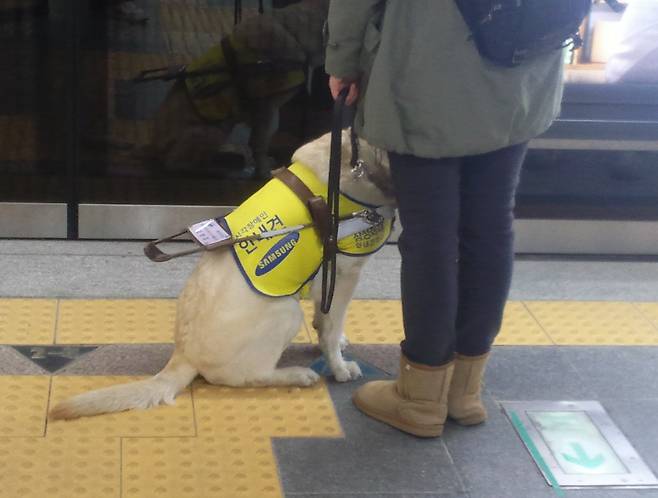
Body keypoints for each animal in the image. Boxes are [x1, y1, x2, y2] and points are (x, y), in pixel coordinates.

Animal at [51, 131, 392, 420]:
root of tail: (184, 354)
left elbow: (327, 321)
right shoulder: (343, 272)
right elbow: (331, 328)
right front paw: (339, 367)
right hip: (286, 311)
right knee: (246, 376)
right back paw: (297, 374)